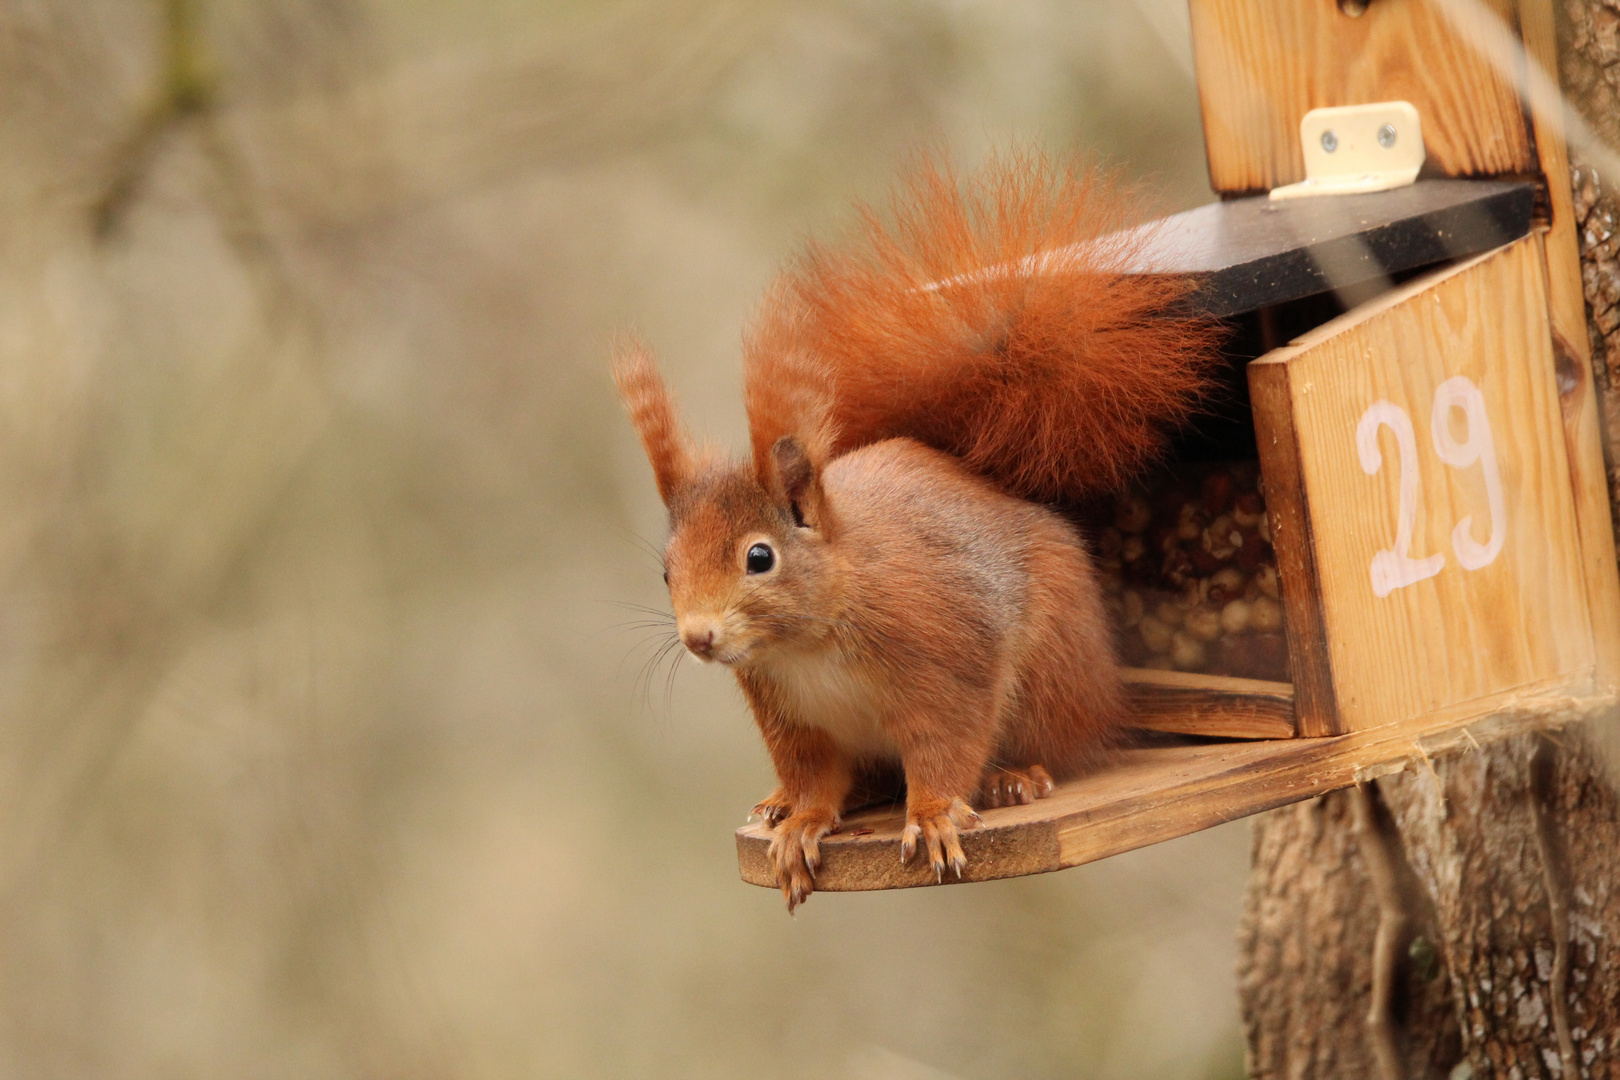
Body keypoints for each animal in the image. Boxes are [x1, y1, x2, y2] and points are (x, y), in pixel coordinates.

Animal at [609, 149, 1218, 913]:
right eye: (666, 569)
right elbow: (813, 778)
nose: (698, 637)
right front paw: (803, 822)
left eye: (760, 557)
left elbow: (944, 747)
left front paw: (929, 815)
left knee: (1058, 741)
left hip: (1051, 672)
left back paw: (1017, 777)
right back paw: (784, 804)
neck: (809, 642)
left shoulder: (945, 658)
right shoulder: (791, 719)